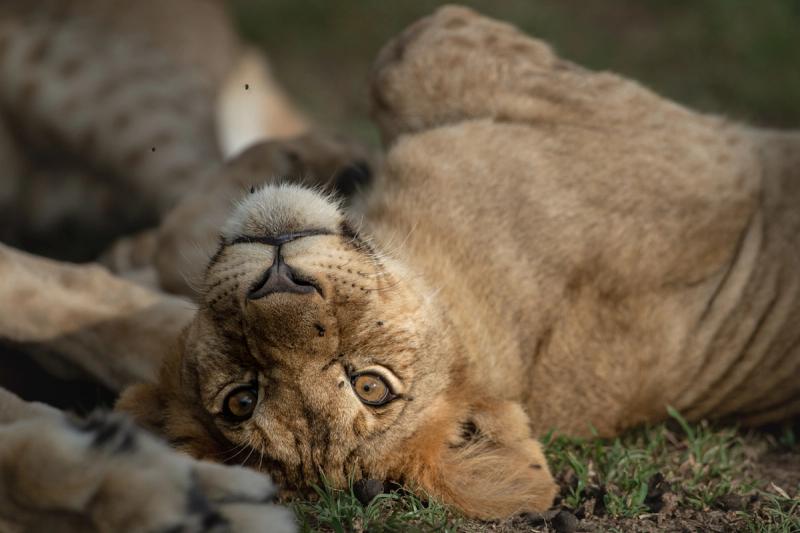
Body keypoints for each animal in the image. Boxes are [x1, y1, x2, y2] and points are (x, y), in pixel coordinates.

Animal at [115, 5, 800, 520]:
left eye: (370, 385)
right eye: (242, 399)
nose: (279, 277)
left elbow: (407, 54)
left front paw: (310, 153)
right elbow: (413, 52)